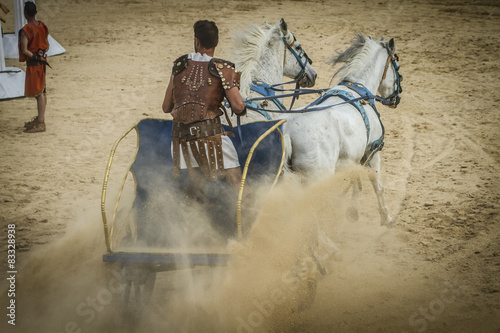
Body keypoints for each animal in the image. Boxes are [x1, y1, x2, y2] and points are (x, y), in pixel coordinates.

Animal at [282, 34, 402, 226]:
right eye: (396, 65)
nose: (397, 99)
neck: (359, 91)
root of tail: (287, 131)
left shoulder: (352, 157)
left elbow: (354, 178)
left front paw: (353, 211)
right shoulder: (372, 152)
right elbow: (377, 184)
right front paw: (386, 217)